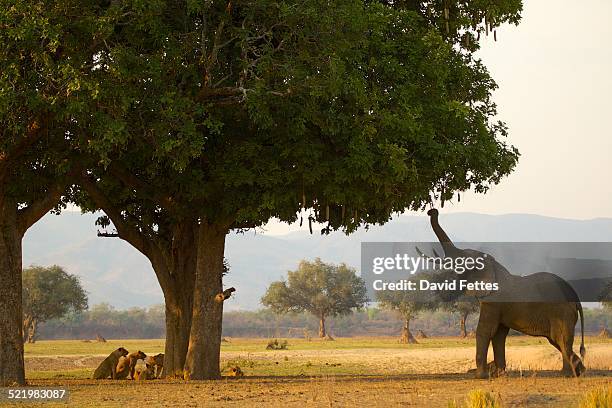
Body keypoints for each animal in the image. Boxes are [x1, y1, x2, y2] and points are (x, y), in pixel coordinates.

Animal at [428, 210, 584, 380]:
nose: (432, 211)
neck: (492, 266)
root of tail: (574, 296)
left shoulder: (493, 303)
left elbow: (485, 331)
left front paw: (480, 376)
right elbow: (498, 335)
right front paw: (499, 374)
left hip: (560, 313)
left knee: (561, 339)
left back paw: (568, 374)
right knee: (558, 341)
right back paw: (578, 371)